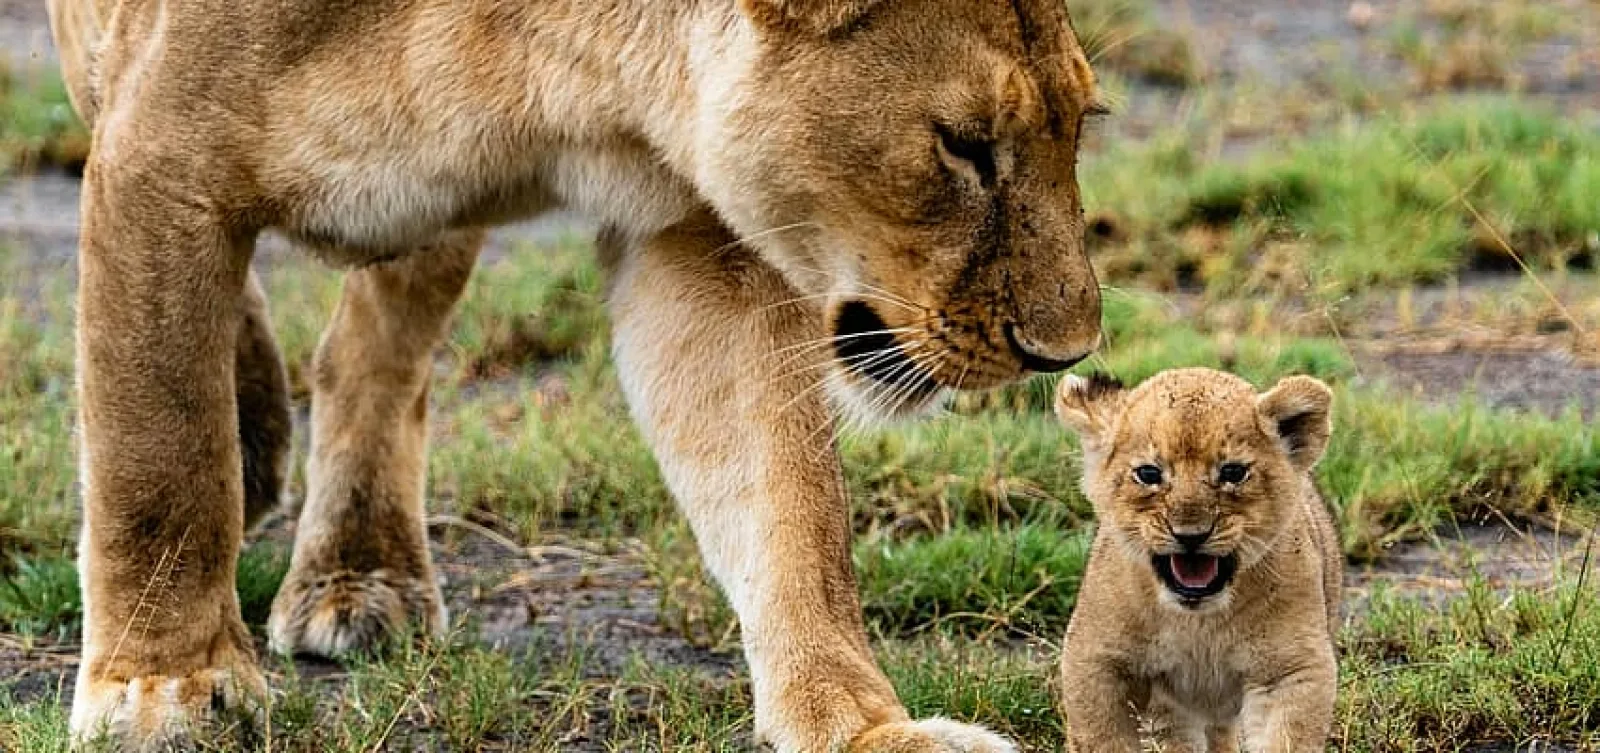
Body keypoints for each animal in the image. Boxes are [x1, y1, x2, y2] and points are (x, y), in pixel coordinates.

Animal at [45, 0, 1105, 749]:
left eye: (1082, 122)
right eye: (964, 145)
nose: (1070, 349)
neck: (550, 72)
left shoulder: (694, 234)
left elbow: (789, 510)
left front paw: (869, 729)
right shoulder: (158, 157)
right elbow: (160, 446)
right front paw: (164, 686)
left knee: (372, 355)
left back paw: (362, 570)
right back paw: (259, 439)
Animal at [1052, 369, 1341, 753]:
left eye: (1233, 472)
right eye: (1149, 474)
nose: (1190, 535)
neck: (1199, 623)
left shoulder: (1290, 668)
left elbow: (1286, 738)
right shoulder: (1095, 661)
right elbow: (1103, 738)